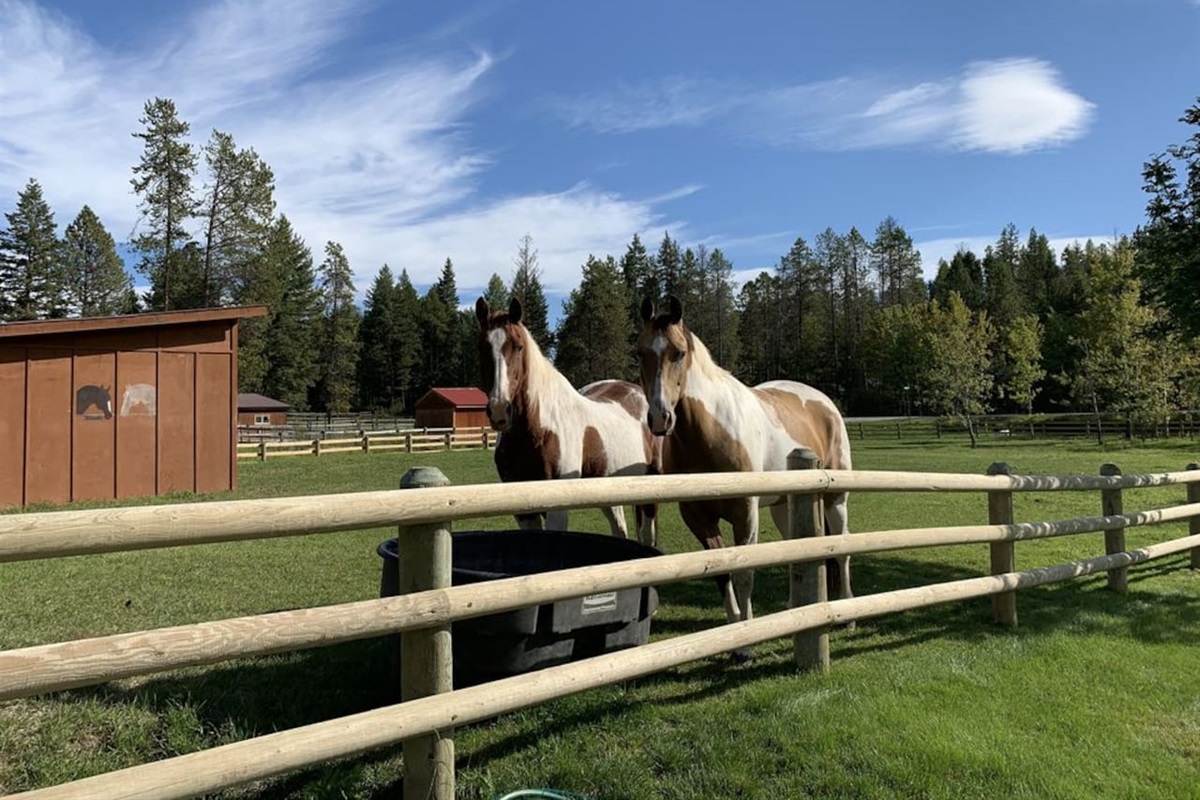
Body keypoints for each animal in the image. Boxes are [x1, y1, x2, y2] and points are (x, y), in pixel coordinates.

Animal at [476, 296, 660, 546]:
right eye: (482, 347)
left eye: (518, 346)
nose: (499, 410)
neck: (541, 429)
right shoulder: (523, 510)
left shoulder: (556, 507)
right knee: (620, 529)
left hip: (649, 490)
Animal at [637, 295, 853, 660]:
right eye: (640, 353)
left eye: (678, 353)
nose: (659, 418)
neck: (712, 432)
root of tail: (825, 403)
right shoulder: (698, 518)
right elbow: (723, 574)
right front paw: (734, 635)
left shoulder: (745, 514)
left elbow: (744, 574)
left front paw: (747, 643)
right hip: (783, 506)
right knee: (796, 548)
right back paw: (795, 609)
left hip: (835, 501)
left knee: (842, 548)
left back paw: (848, 615)